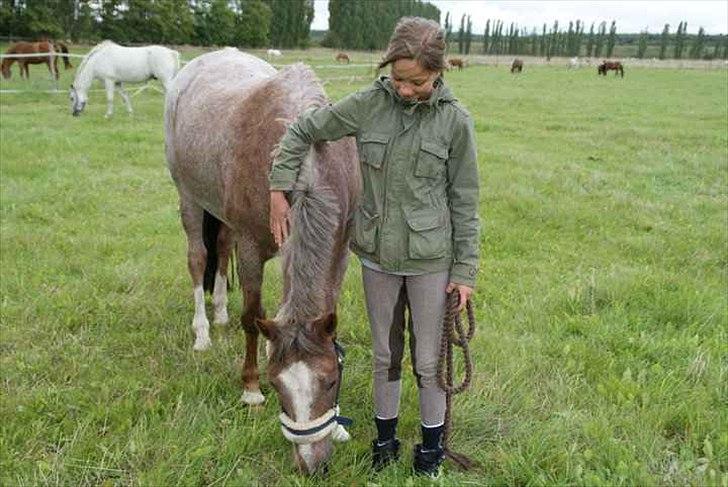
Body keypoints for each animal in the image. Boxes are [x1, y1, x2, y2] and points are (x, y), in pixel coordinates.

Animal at [164, 47, 360, 474]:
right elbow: (253, 316)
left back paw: (220, 313)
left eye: (331, 380)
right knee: (197, 258)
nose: (311, 466)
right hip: (189, 198)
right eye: (276, 385)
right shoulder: (253, 248)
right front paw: (250, 389)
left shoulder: (339, 252)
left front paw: (338, 426)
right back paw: (203, 331)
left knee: (221, 249)